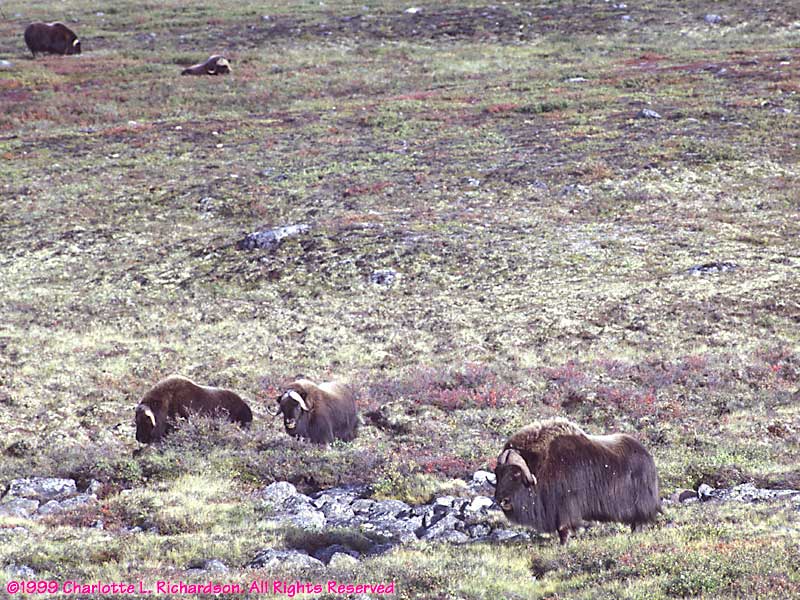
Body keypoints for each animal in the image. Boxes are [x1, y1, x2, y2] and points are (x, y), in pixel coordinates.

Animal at [494, 417, 661, 544]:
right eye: (497, 473)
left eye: (516, 473)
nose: (501, 500)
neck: (541, 463)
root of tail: (647, 456)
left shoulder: (564, 505)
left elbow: (563, 528)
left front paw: (563, 545)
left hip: (638, 504)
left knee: (638, 522)